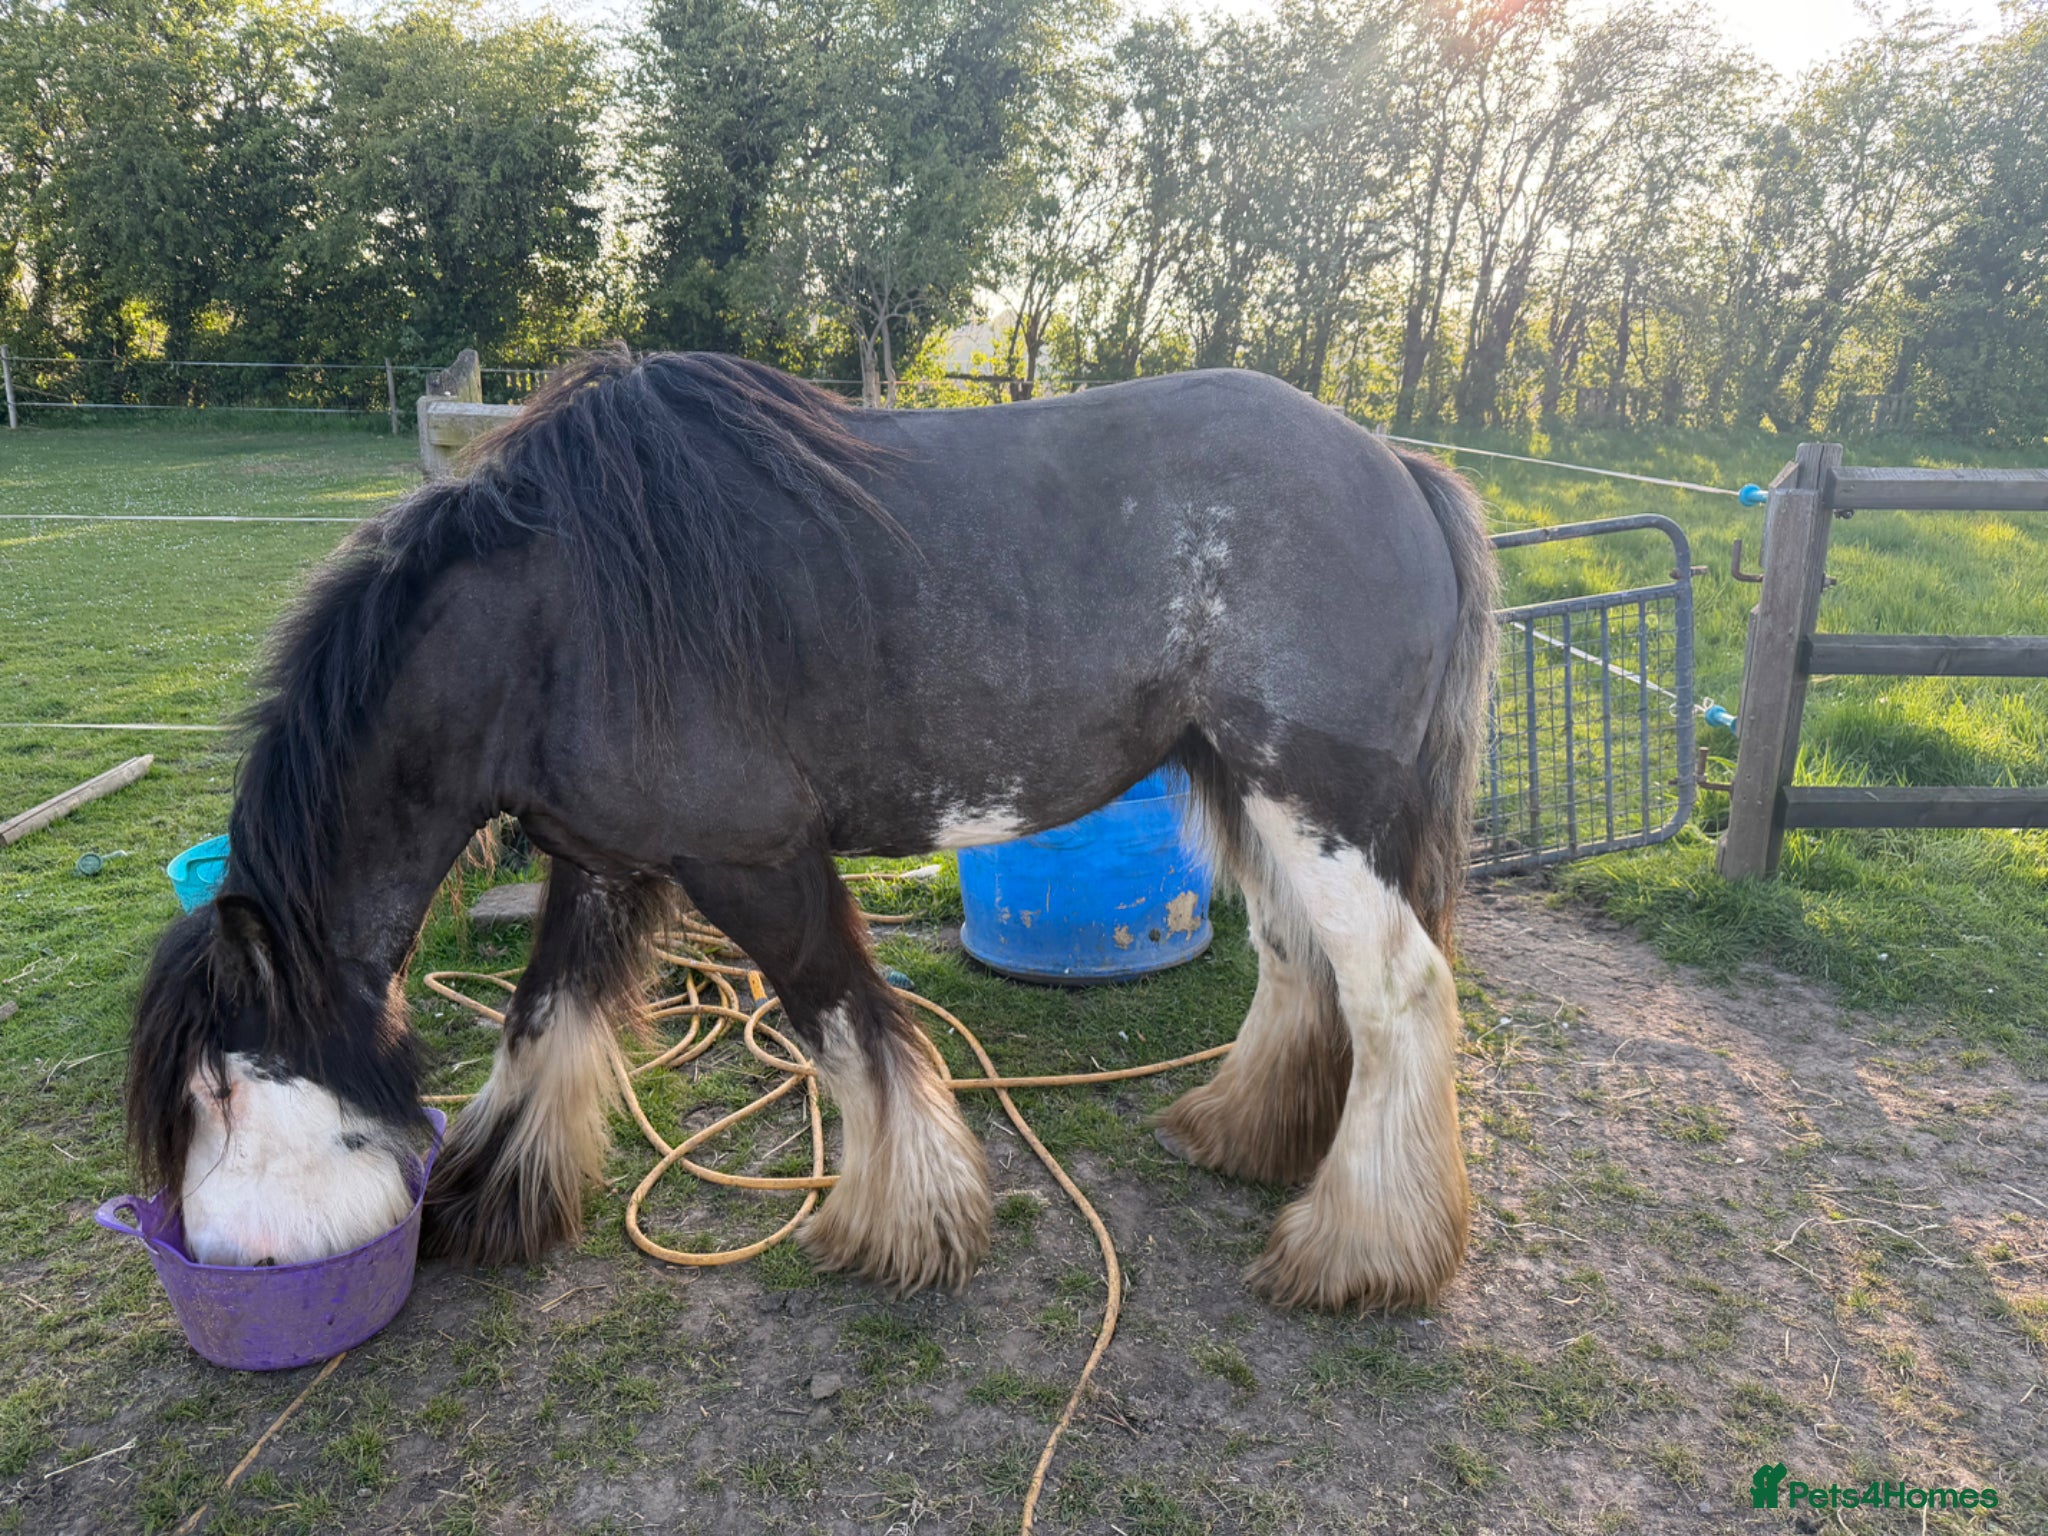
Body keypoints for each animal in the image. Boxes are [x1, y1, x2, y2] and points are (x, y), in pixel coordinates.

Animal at [125, 348, 1497, 1310]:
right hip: (1241, 790)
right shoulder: (605, 866)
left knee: (1397, 992)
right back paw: (1242, 1137)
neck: (547, 621)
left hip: (1314, 803)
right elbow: (542, 1023)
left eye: (220, 1088)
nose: (226, 1260)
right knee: (1297, 964)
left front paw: (905, 1228)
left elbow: (851, 1025)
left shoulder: (751, 861)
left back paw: (1357, 1252)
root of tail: (1398, 468)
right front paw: (492, 1196)